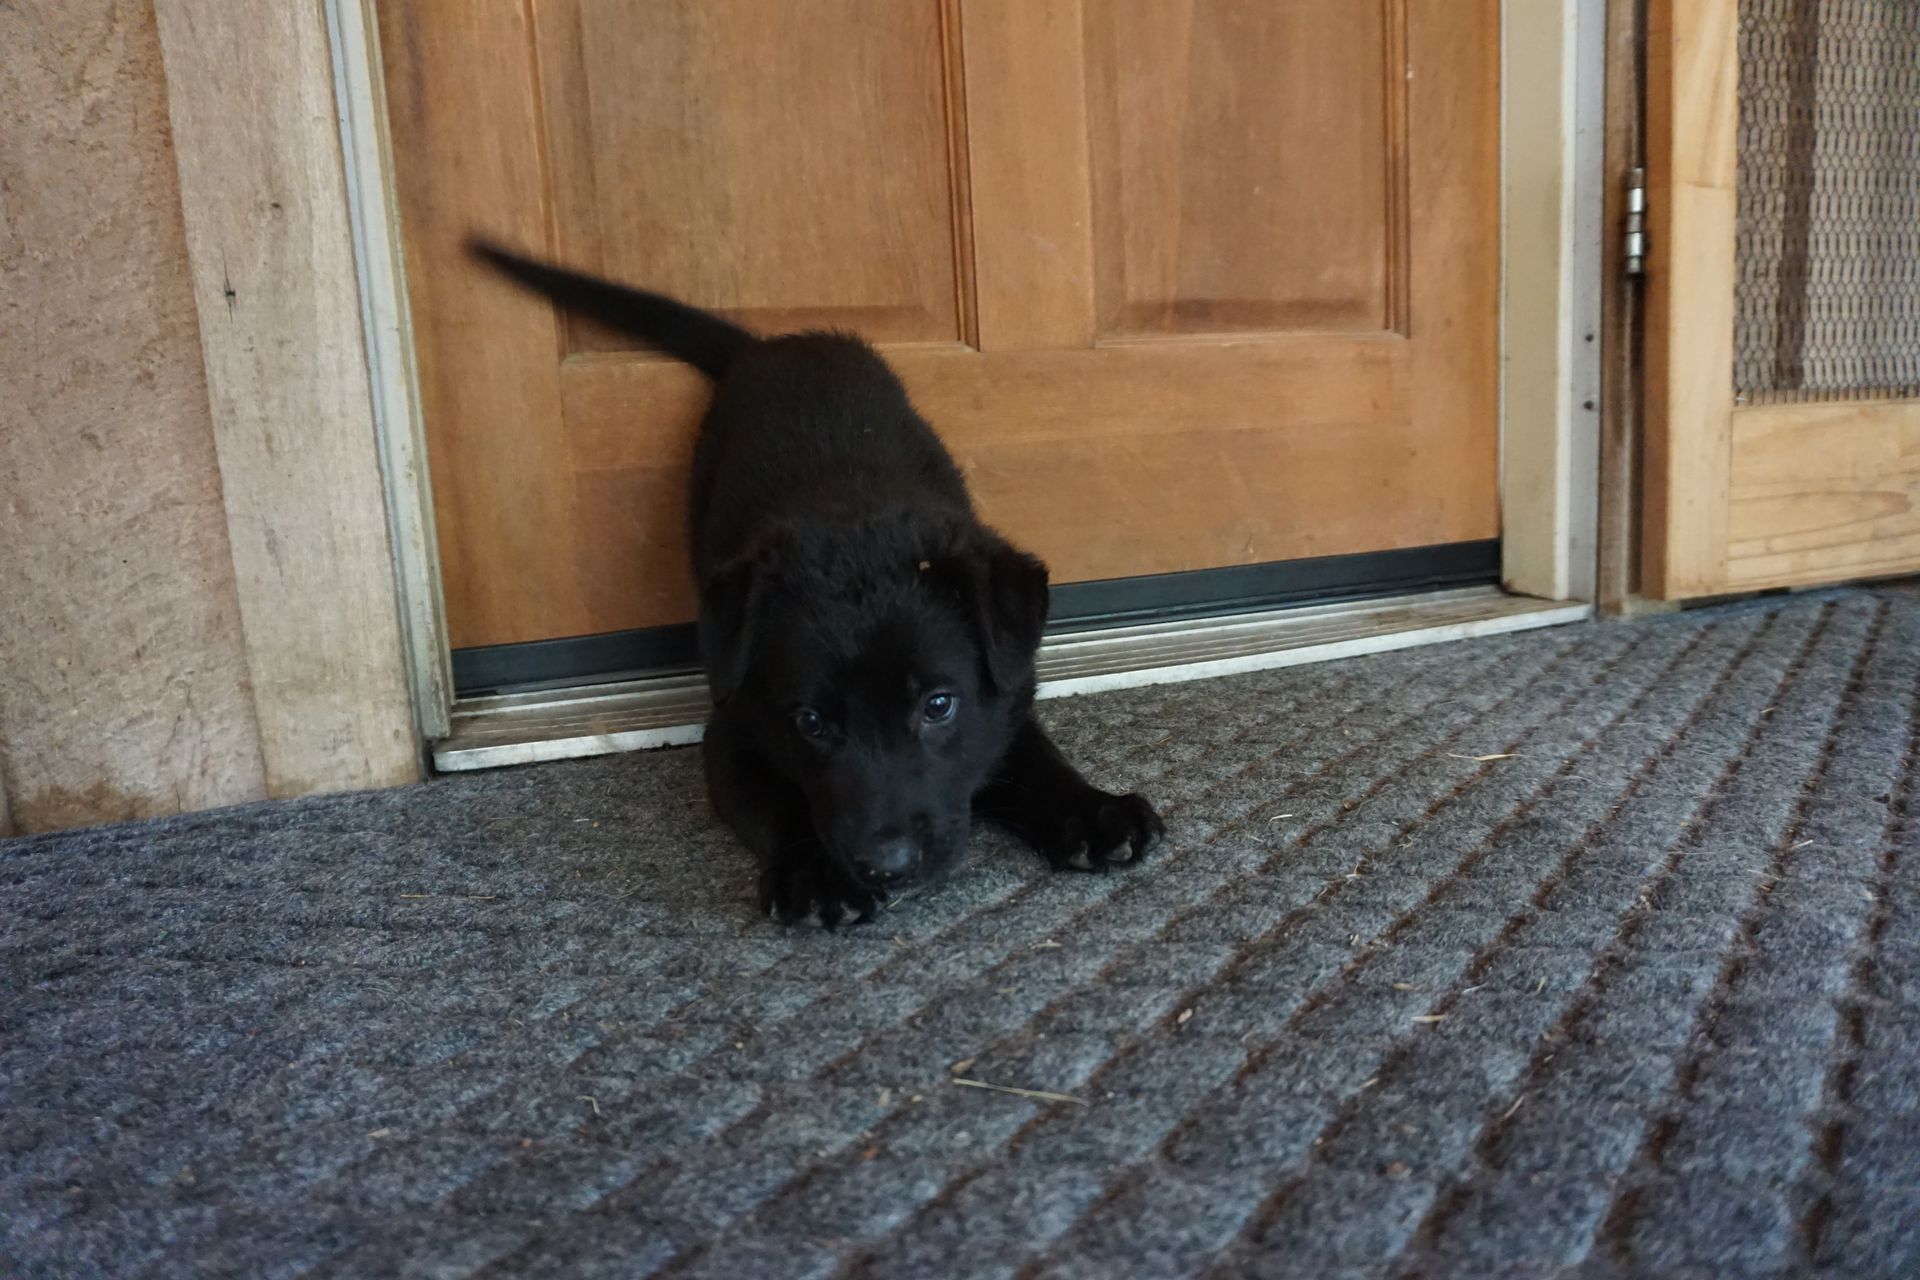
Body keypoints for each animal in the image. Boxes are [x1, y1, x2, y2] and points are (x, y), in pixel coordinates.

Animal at [472, 242, 1159, 921]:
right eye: (809, 722)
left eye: (938, 705)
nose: (887, 865)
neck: (855, 527)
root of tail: (772, 345)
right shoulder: (732, 729)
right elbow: (781, 802)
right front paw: (814, 874)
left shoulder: (1005, 695)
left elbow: (1032, 756)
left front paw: (1092, 812)